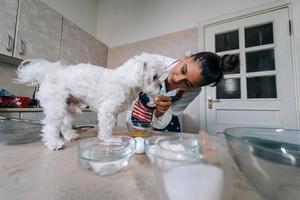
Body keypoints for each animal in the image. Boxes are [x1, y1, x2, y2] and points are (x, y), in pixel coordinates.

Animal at [16, 53, 164, 150]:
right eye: (154, 77)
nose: (161, 87)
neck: (126, 80)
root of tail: (49, 73)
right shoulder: (107, 111)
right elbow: (107, 127)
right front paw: (108, 139)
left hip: (70, 107)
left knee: (64, 124)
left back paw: (70, 136)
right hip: (56, 106)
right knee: (50, 126)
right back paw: (54, 143)